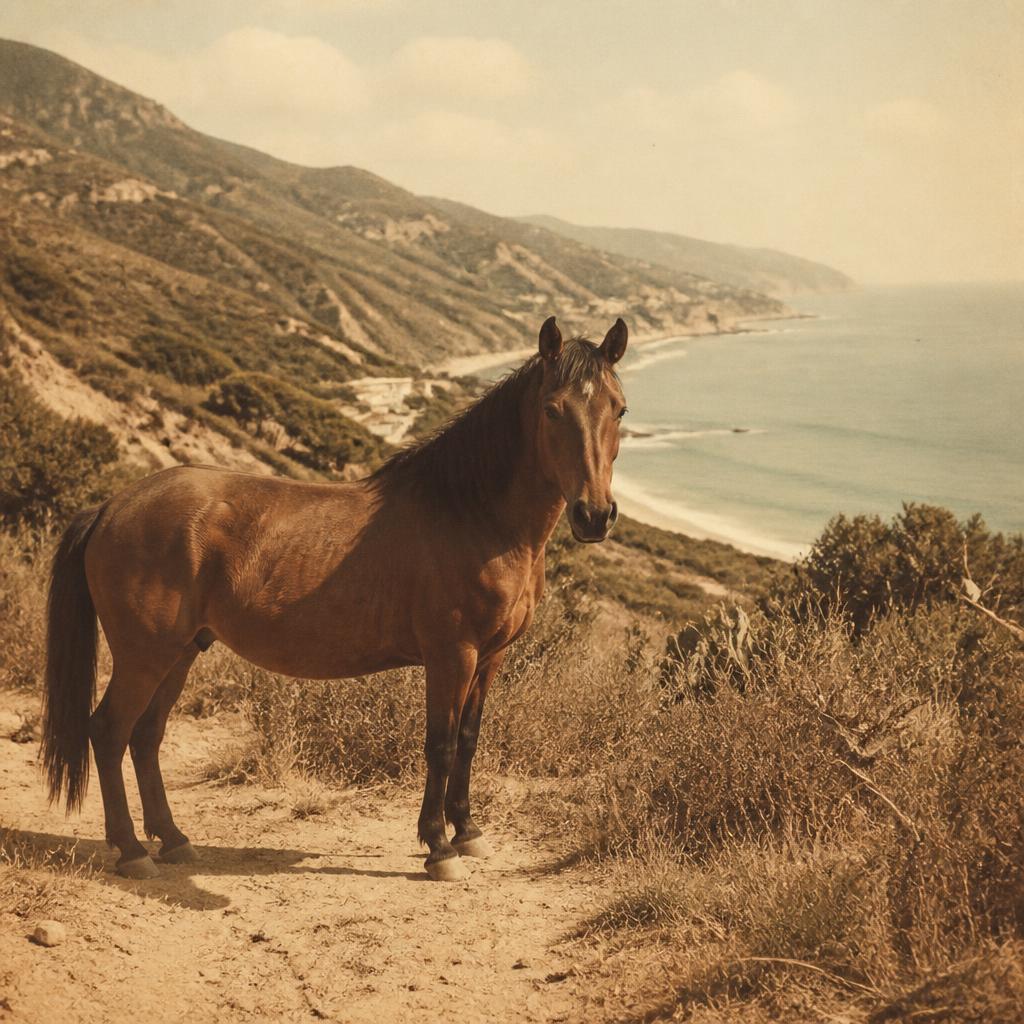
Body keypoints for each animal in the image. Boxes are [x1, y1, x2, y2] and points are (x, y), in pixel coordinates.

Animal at [41, 315, 629, 881]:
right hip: (145, 656)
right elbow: (439, 745)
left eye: (619, 410)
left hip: (182, 651)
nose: (594, 515)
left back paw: (174, 839)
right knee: (109, 732)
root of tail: (112, 506)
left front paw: (468, 832)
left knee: (146, 736)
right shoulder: (451, 656)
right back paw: (132, 850)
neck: (472, 515)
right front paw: (439, 847)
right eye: (552, 410)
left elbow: (467, 739)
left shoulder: (489, 658)